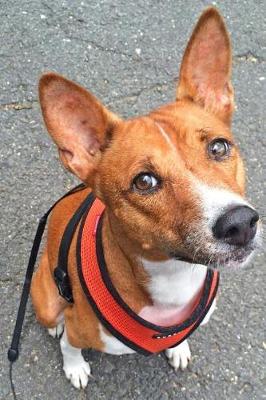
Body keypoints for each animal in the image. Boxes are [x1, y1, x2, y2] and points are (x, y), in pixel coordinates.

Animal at [30, 6, 260, 390]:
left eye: (218, 147)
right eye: (144, 181)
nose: (240, 224)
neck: (175, 277)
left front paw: (178, 346)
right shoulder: (79, 329)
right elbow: (69, 346)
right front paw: (75, 367)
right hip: (45, 298)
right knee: (55, 321)